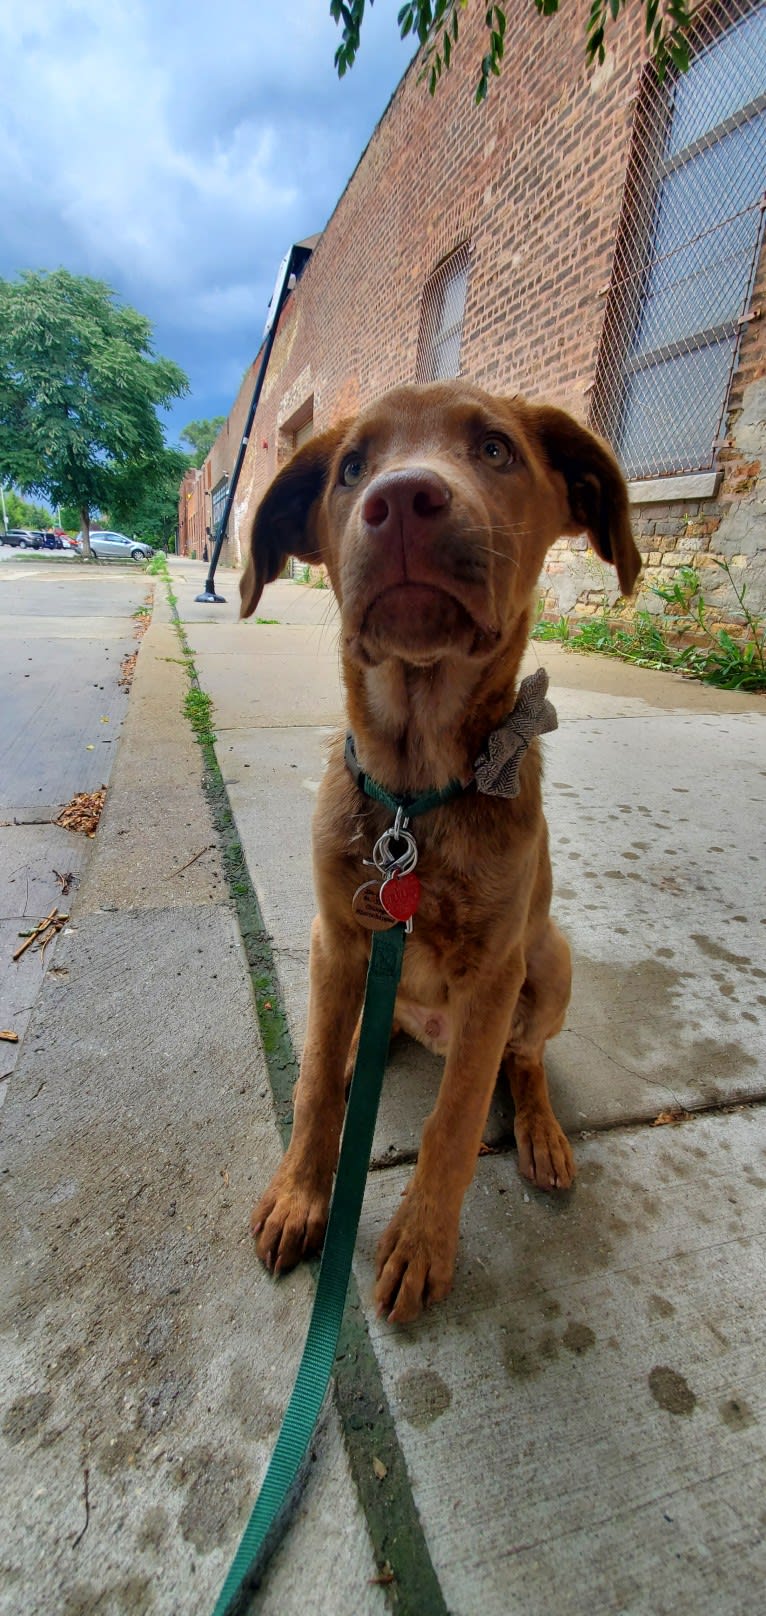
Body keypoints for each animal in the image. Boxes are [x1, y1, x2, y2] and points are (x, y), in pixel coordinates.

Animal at [240, 381, 639, 1325]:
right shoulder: (336, 938)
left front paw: (422, 1243)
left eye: (495, 450)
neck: (412, 799)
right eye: (352, 468)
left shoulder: (493, 972)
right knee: (354, 1043)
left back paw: (541, 1131)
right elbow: (315, 1090)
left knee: (524, 1062)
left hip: (550, 959)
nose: (399, 502)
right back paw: (360, 1054)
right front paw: (301, 1196)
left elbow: (453, 1124)